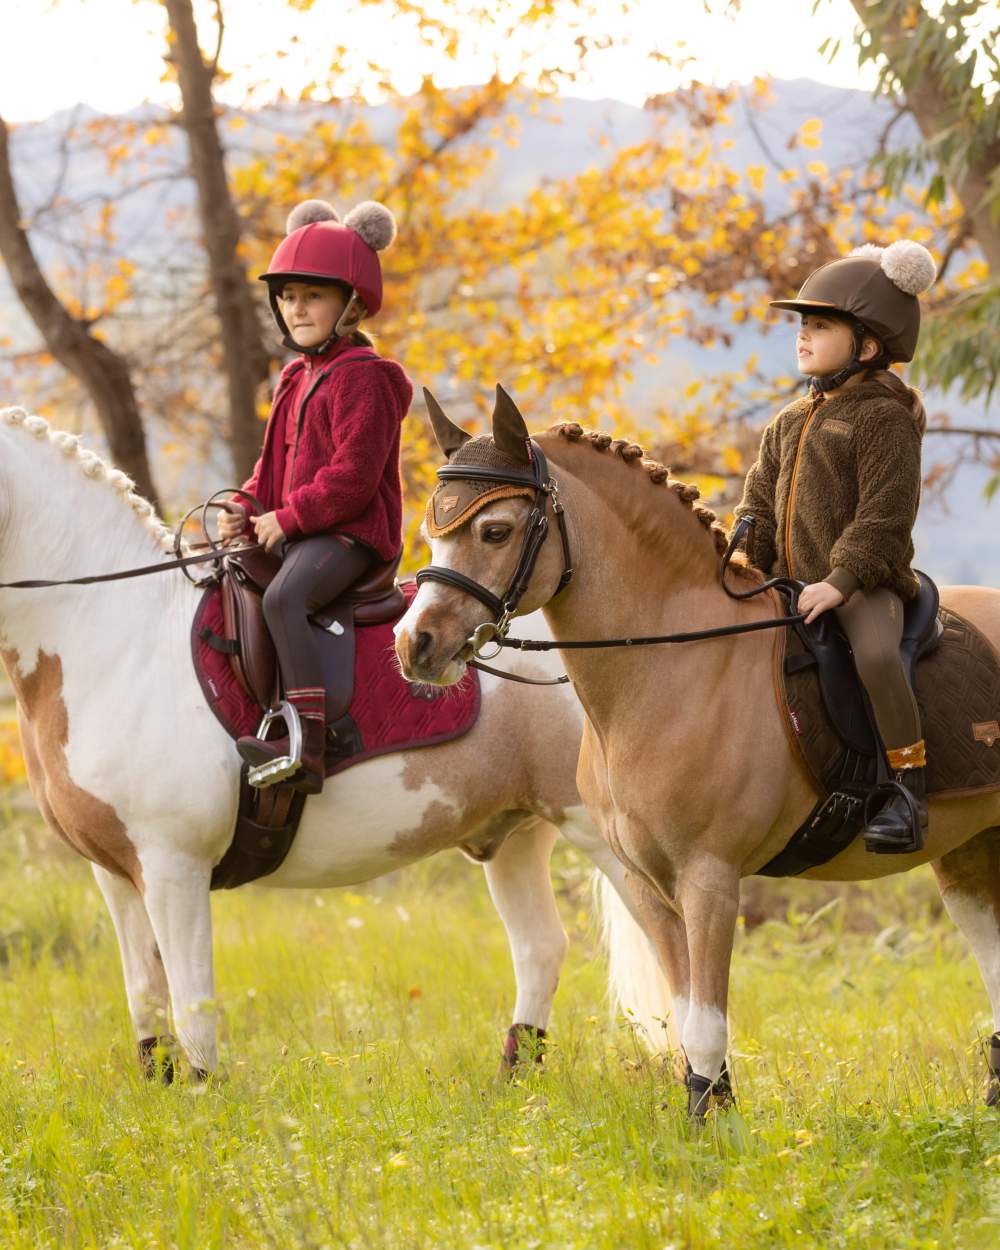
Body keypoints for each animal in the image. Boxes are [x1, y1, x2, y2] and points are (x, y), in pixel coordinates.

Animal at [0, 405, 670, 1080]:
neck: (115, 631)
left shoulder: (172, 868)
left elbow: (192, 1011)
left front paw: (205, 1101)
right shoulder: (116, 874)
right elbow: (147, 1005)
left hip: (599, 836)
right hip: (515, 835)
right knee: (541, 949)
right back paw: (514, 1086)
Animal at [397, 387, 1000, 1115]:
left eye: (493, 531)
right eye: (433, 528)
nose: (414, 645)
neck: (671, 663)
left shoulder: (710, 878)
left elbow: (707, 1026)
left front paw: (712, 1127)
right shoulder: (649, 884)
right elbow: (687, 1019)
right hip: (968, 853)